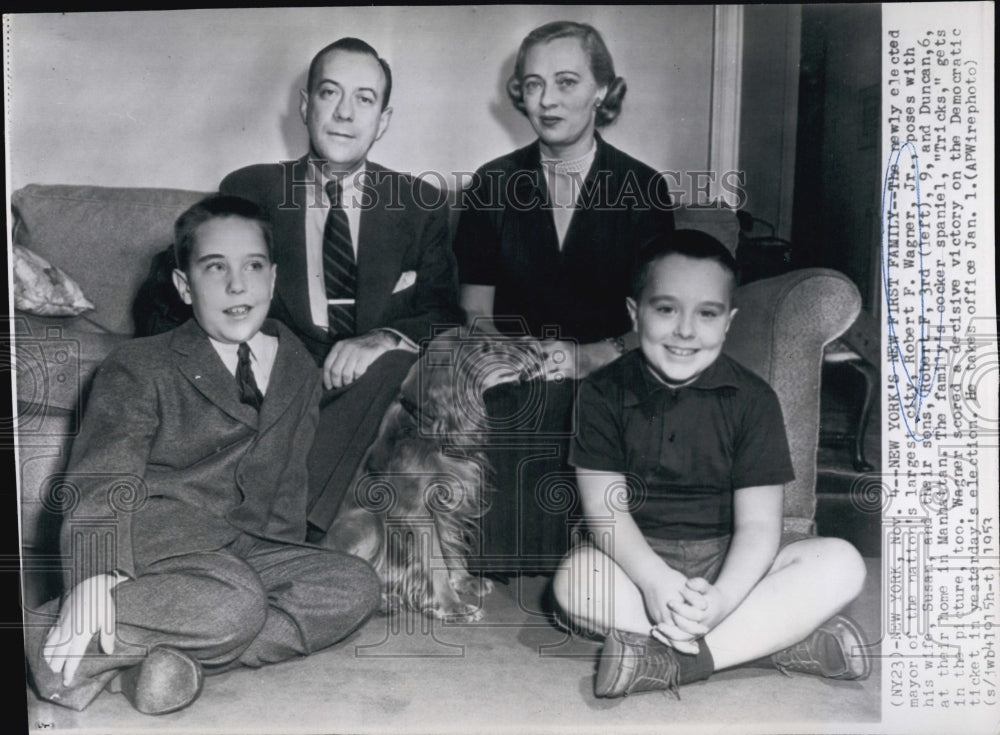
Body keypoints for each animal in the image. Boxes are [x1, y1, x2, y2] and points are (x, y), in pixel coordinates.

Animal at [326, 328, 548, 620]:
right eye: (486, 348)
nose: (537, 347)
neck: (430, 426)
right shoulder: (416, 513)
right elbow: (436, 561)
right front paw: (453, 606)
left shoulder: (449, 503)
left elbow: (450, 546)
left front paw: (463, 581)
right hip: (367, 521)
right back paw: (384, 601)